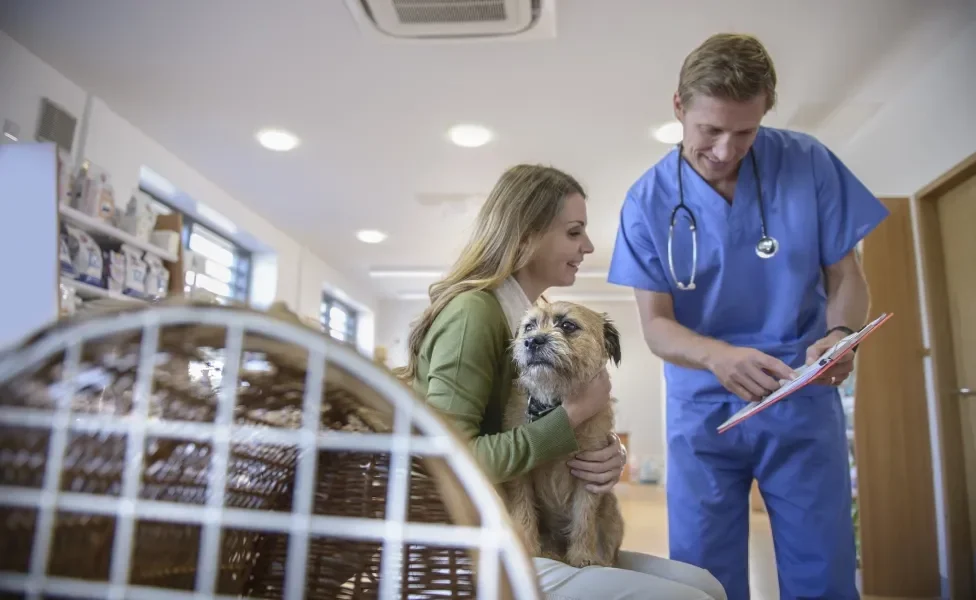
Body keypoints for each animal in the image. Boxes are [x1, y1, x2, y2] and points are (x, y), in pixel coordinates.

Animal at [504, 300, 624, 568]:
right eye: (529, 327)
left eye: (568, 326)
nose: (532, 341)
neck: (555, 404)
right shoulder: (520, 477)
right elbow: (524, 513)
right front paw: (528, 551)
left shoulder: (590, 475)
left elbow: (584, 519)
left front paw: (582, 555)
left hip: (611, 508)